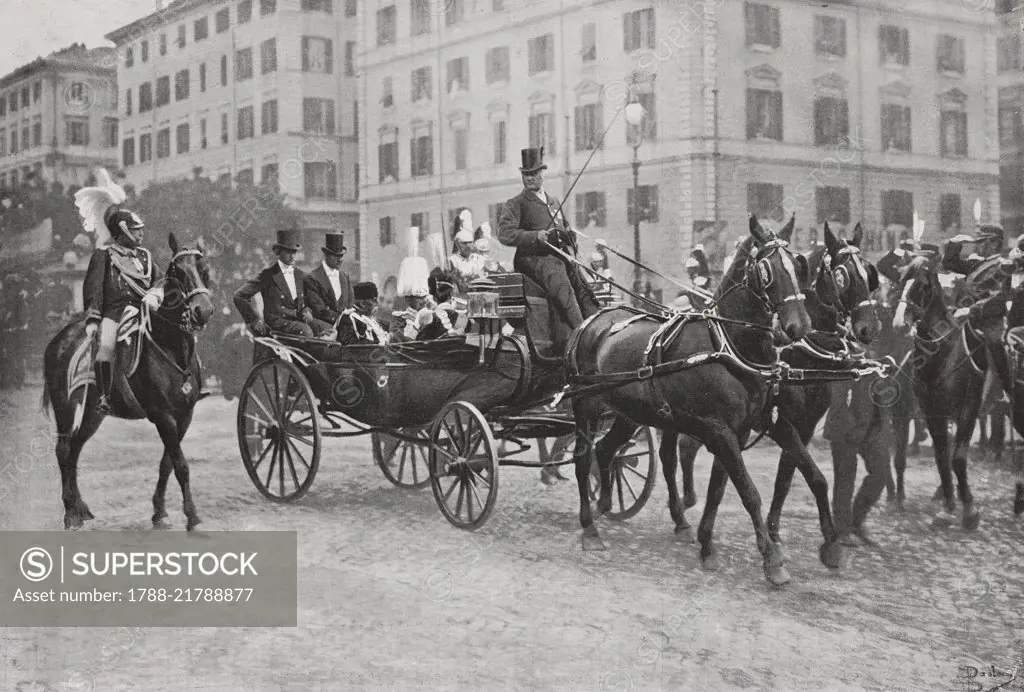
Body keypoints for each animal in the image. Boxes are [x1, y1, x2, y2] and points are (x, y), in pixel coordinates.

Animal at [41, 233, 214, 528]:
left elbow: (167, 463)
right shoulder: (163, 416)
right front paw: (192, 516)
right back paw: (70, 514)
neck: (170, 346)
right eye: (178, 273)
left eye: (204, 270)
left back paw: (82, 508)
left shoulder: (184, 416)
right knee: (63, 450)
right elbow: (181, 464)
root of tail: (59, 340)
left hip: (92, 414)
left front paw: (159, 512)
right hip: (65, 408)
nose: (202, 310)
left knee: (74, 449)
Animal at [569, 215, 815, 585]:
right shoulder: (719, 431)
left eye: (798, 265)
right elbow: (749, 493)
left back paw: (605, 506)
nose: (798, 326)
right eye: (767, 269)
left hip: (628, 413)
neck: (727, 344)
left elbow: (718, 490)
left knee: (606, 451)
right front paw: (772, 560)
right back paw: (589, 528)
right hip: (586, 406)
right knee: (584, 459)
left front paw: (706, 545)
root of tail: (593, 319)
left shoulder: (736, 432)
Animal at [892, 256, 1003, 528]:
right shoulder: (932, 411)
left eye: (922, 286)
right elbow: (942, 456)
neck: (943, 354)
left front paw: (970, 510)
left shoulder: (969, 409)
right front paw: (949, 506)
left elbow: (958, 459)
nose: (899, 324)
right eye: (901, 282)